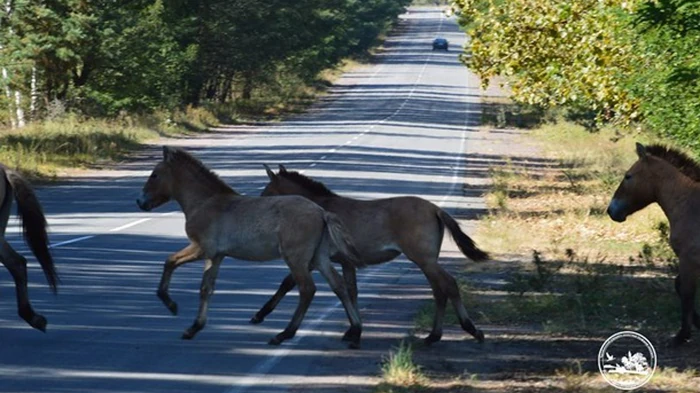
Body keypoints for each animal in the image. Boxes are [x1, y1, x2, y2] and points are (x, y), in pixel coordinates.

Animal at [608, 142, 700, 344]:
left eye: (628, 176)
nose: (611, 210)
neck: (690, 205)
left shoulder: (688, 260)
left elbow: (686, 293)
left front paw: (682, 335)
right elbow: (680, 287)